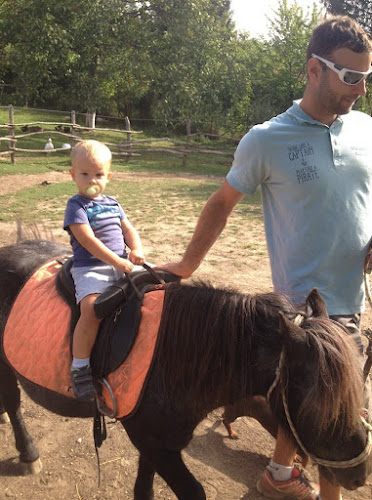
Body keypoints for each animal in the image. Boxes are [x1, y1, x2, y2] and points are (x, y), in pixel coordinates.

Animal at [0, 239, 370, 500]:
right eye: (322, 406)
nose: (358, 475)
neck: (170, 359)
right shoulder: (155, 444)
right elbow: (192, 492)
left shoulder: (155, 442)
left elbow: (144, 489)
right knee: (13, 404)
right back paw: (28, 453)